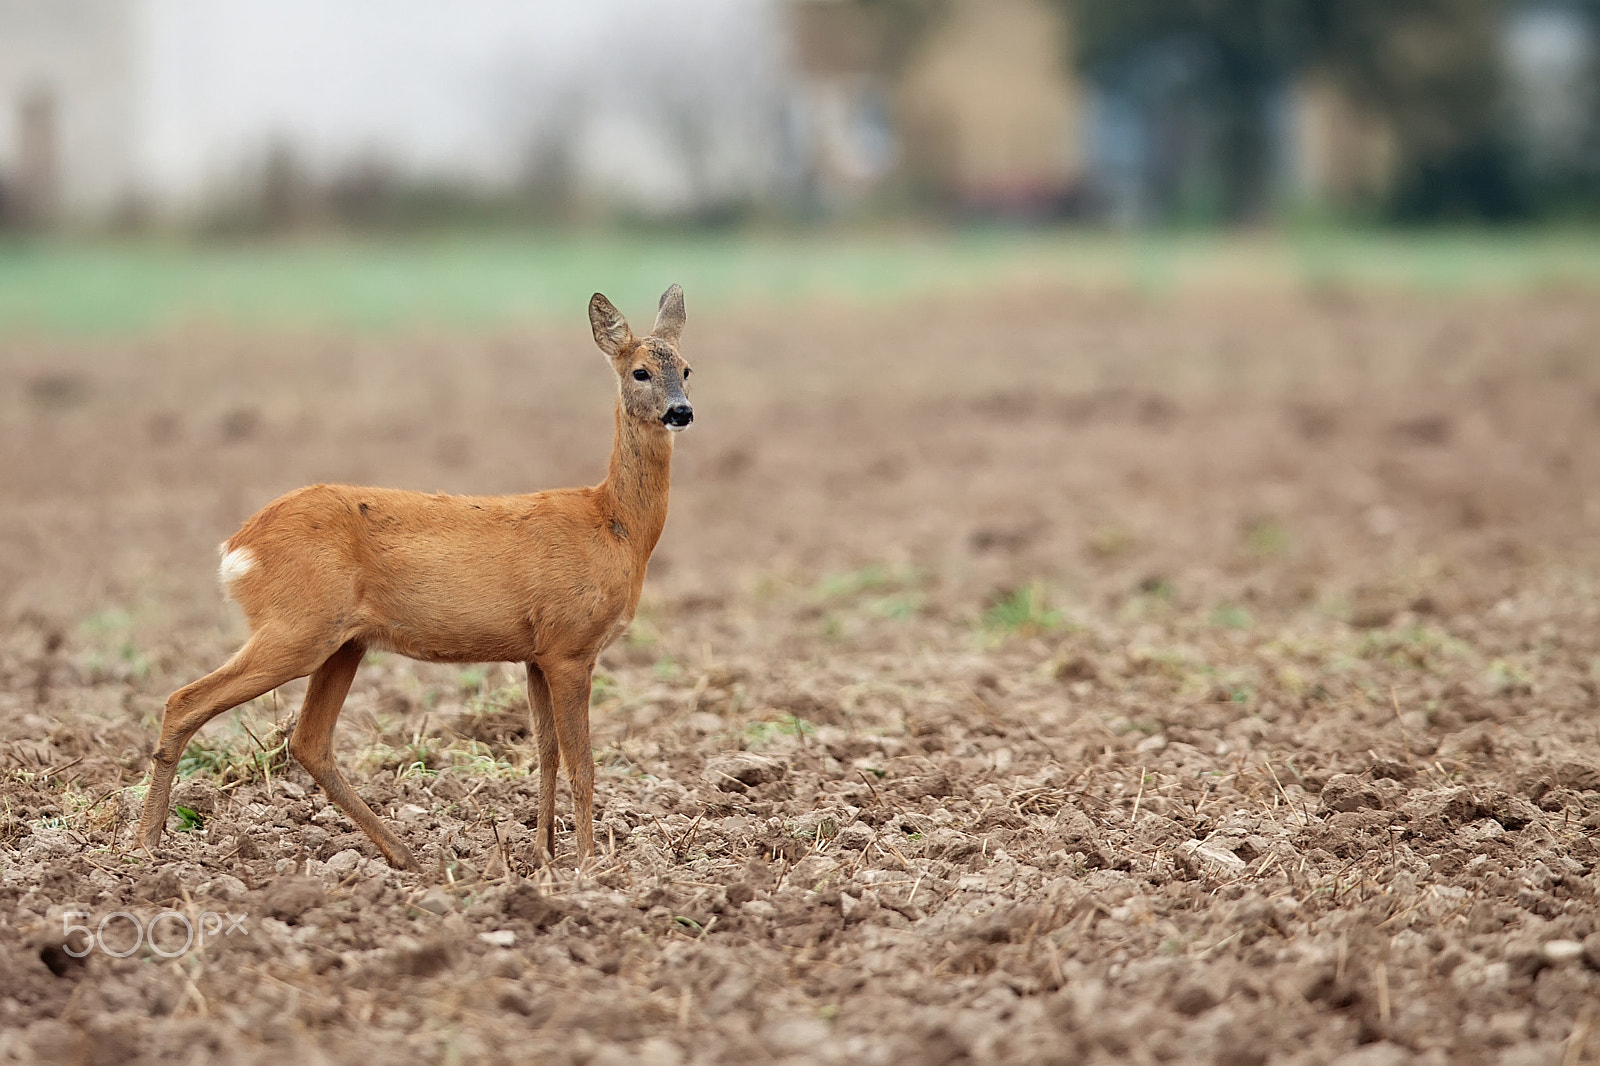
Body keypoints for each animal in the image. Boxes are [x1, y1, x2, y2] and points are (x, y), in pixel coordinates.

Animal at [134, 286, 695, 871]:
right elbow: (581, 763)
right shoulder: (571, 646)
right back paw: (145, 843)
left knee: (309, 741)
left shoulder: (538, 652)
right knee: (184, 701)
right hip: (297, 627)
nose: (681, 411)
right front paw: (589, 864)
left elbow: (545, 754)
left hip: (343, 643)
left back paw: (404, 854)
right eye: (639, 372)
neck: (614, 525)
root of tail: (238, 546)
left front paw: (543, 854)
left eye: (686, 368)